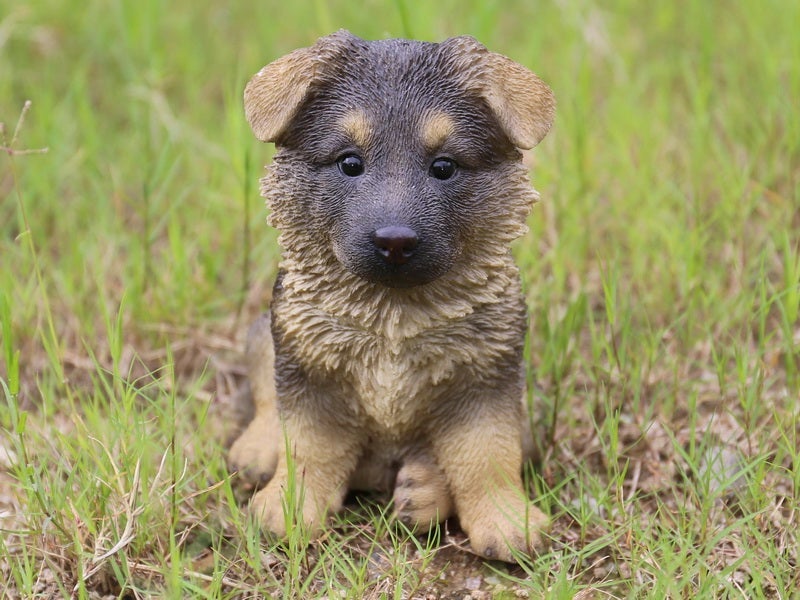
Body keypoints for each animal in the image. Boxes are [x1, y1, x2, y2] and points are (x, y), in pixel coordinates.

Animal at [230, 29, 556, 564]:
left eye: (444, 166)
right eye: (349, 162)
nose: (396, 241)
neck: (392, 316)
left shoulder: (487, 377)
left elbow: (488, 454)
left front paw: (507, 521)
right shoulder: (309, 368)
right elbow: (307, 446)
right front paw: (288, 510)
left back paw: (423, 490)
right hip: (265, 331)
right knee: (262, 391)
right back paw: (256, 449)